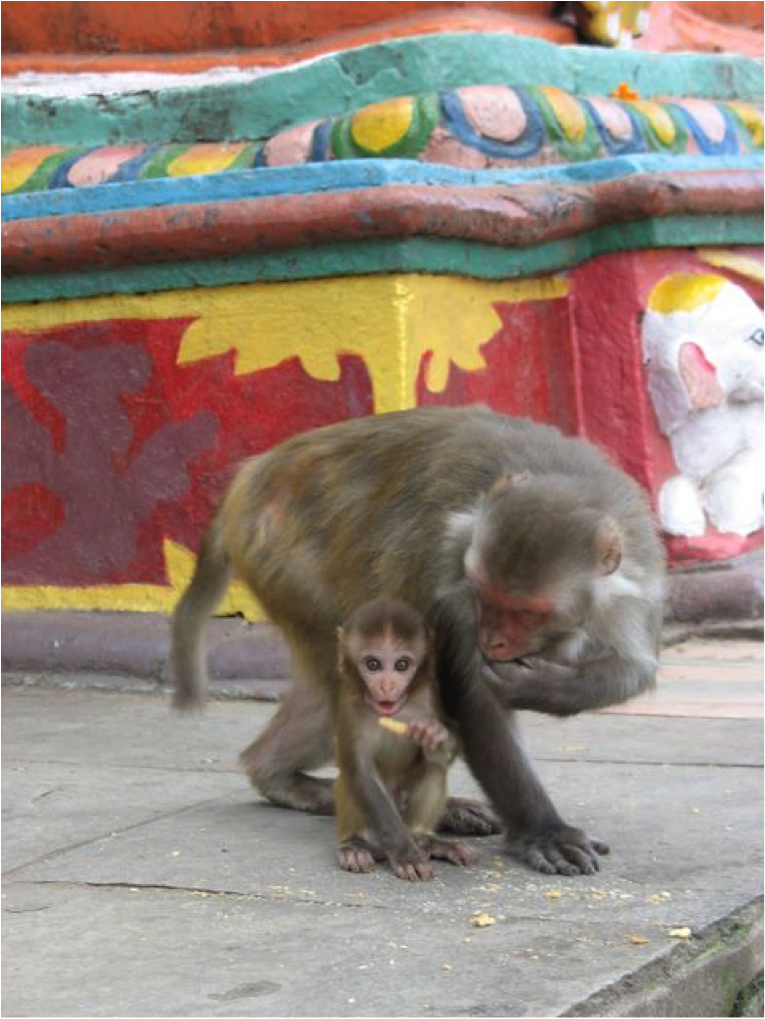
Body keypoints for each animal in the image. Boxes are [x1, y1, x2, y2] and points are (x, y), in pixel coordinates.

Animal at [333, 598, 476, 880]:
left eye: (402, 665)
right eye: (373, 664)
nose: (387, 687)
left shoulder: (430, 695)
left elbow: (450, 742)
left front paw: (436, 735)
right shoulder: (350, 707)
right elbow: (360, 772)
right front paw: (406, 856)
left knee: (434, 767)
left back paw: (427, 840)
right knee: (349, 780)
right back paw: (356, 845)